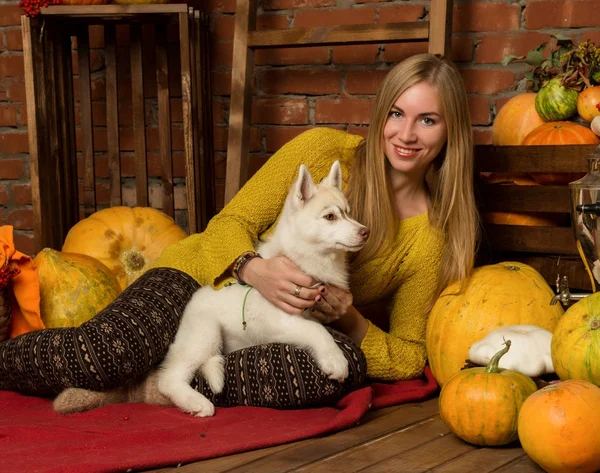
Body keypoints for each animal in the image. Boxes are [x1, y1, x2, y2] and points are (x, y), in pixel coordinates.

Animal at [54, 162, 368, 416]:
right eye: (330, 217)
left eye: (349, 214)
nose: (365, 231)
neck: (305, 258)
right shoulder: (278, 317)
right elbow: (316, 330)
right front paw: (335, 360)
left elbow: (317, 325)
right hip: (204, 334)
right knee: (169, 378)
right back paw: (196, 403)